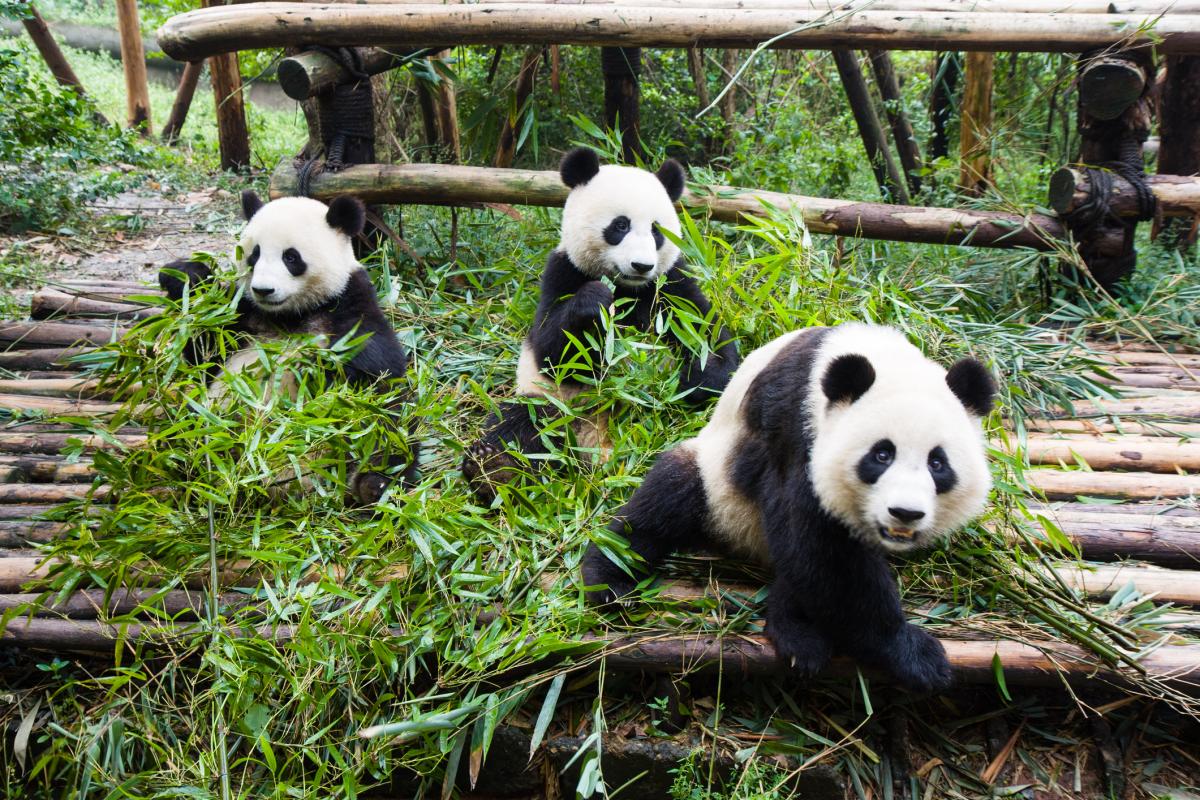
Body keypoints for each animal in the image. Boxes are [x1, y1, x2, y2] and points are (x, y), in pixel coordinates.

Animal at [158, 190, 417, 503]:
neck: (289, 315)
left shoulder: (350, 303)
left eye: (291, 257)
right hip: (206, 427)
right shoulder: (242, 314)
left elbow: (376, 368)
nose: (263, 290)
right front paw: (183, 275)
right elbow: (204, 349)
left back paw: (373, 486)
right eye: (254, 255)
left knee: (389, 435)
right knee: (185, 435)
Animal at [462, 147, 740, 501]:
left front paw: (693, 378)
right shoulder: (563, 270)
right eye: (620, 225)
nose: (641, 265)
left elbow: (708, 335)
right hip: (554, 406)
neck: (628, 287)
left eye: (656, 231)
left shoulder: (671, 284)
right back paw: (495, 470)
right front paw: (595, 301)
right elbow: (551, 351)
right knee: (521, 422)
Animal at [581, 323, 996, 692]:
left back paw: (794, 629)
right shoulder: (796, 429)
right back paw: (609, 579)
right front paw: (914, 652)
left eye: (937, 463)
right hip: (717, 485)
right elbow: (820, 546)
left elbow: (814, 558)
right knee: (664, 503)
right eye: (881, 455)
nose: (904, 513)